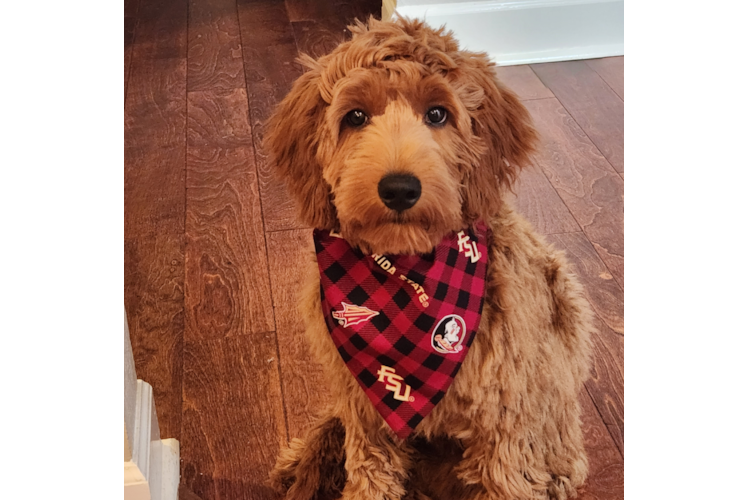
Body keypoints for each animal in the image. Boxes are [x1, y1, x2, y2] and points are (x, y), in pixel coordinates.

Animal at [266, 16, 592, 500]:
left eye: (438, 114)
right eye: (355, 117)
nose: (399, 188)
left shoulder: (506, 420)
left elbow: (505, 478)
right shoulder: (366, 414)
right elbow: (371, 475)